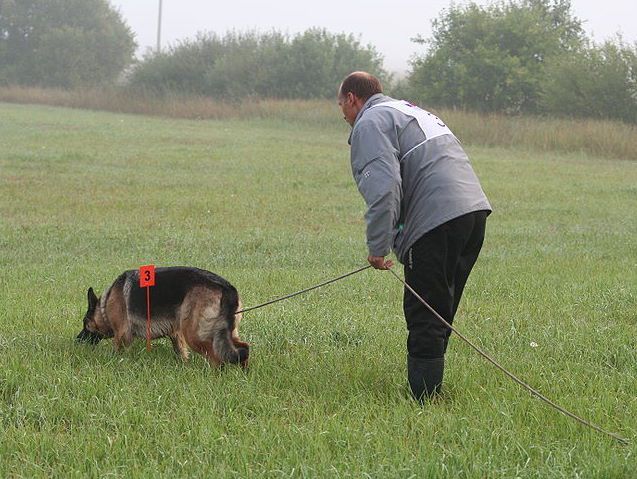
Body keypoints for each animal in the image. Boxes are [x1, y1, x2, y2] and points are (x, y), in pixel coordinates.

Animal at [76, 266, 248, 368]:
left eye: (85, 324)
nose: (77, 340)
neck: (105, 306)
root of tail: (226, 287)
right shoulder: (176, 334)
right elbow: (180, 352)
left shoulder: (121, 334)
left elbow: (117, 351)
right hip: (226, 333)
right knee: (243, 349)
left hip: (196, 335)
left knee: (217, 357)